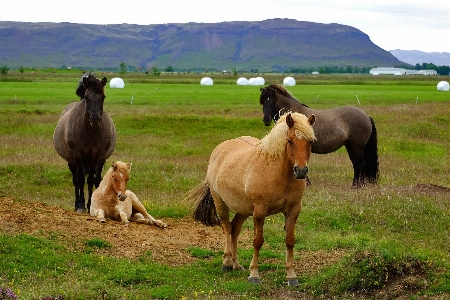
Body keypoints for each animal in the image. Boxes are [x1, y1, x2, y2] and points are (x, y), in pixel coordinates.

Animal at [53, 74, 117, 212]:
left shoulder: (98, 155)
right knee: (76, 180)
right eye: (87, 97)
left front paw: (92, 204)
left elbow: (94, 180)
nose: (95, 119)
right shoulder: (78, 155)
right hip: (71, 161)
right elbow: (81, 180)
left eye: (103, 97)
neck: (90, 131)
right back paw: (77, 204)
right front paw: (82, 205)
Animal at [190, 112, 316, 286]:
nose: (301, 171)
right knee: (226, 228)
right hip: (220, 202)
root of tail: (220, 149)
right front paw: (254, 275)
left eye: (310, 141)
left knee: (235, 229)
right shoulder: (259, 212)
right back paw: (227, 263)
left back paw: (236, 264)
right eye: (289, 140)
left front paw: (291, 276)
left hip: (243, 209)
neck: (277, 172)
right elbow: (258, 241)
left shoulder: (293, 210)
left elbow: (290, 241)